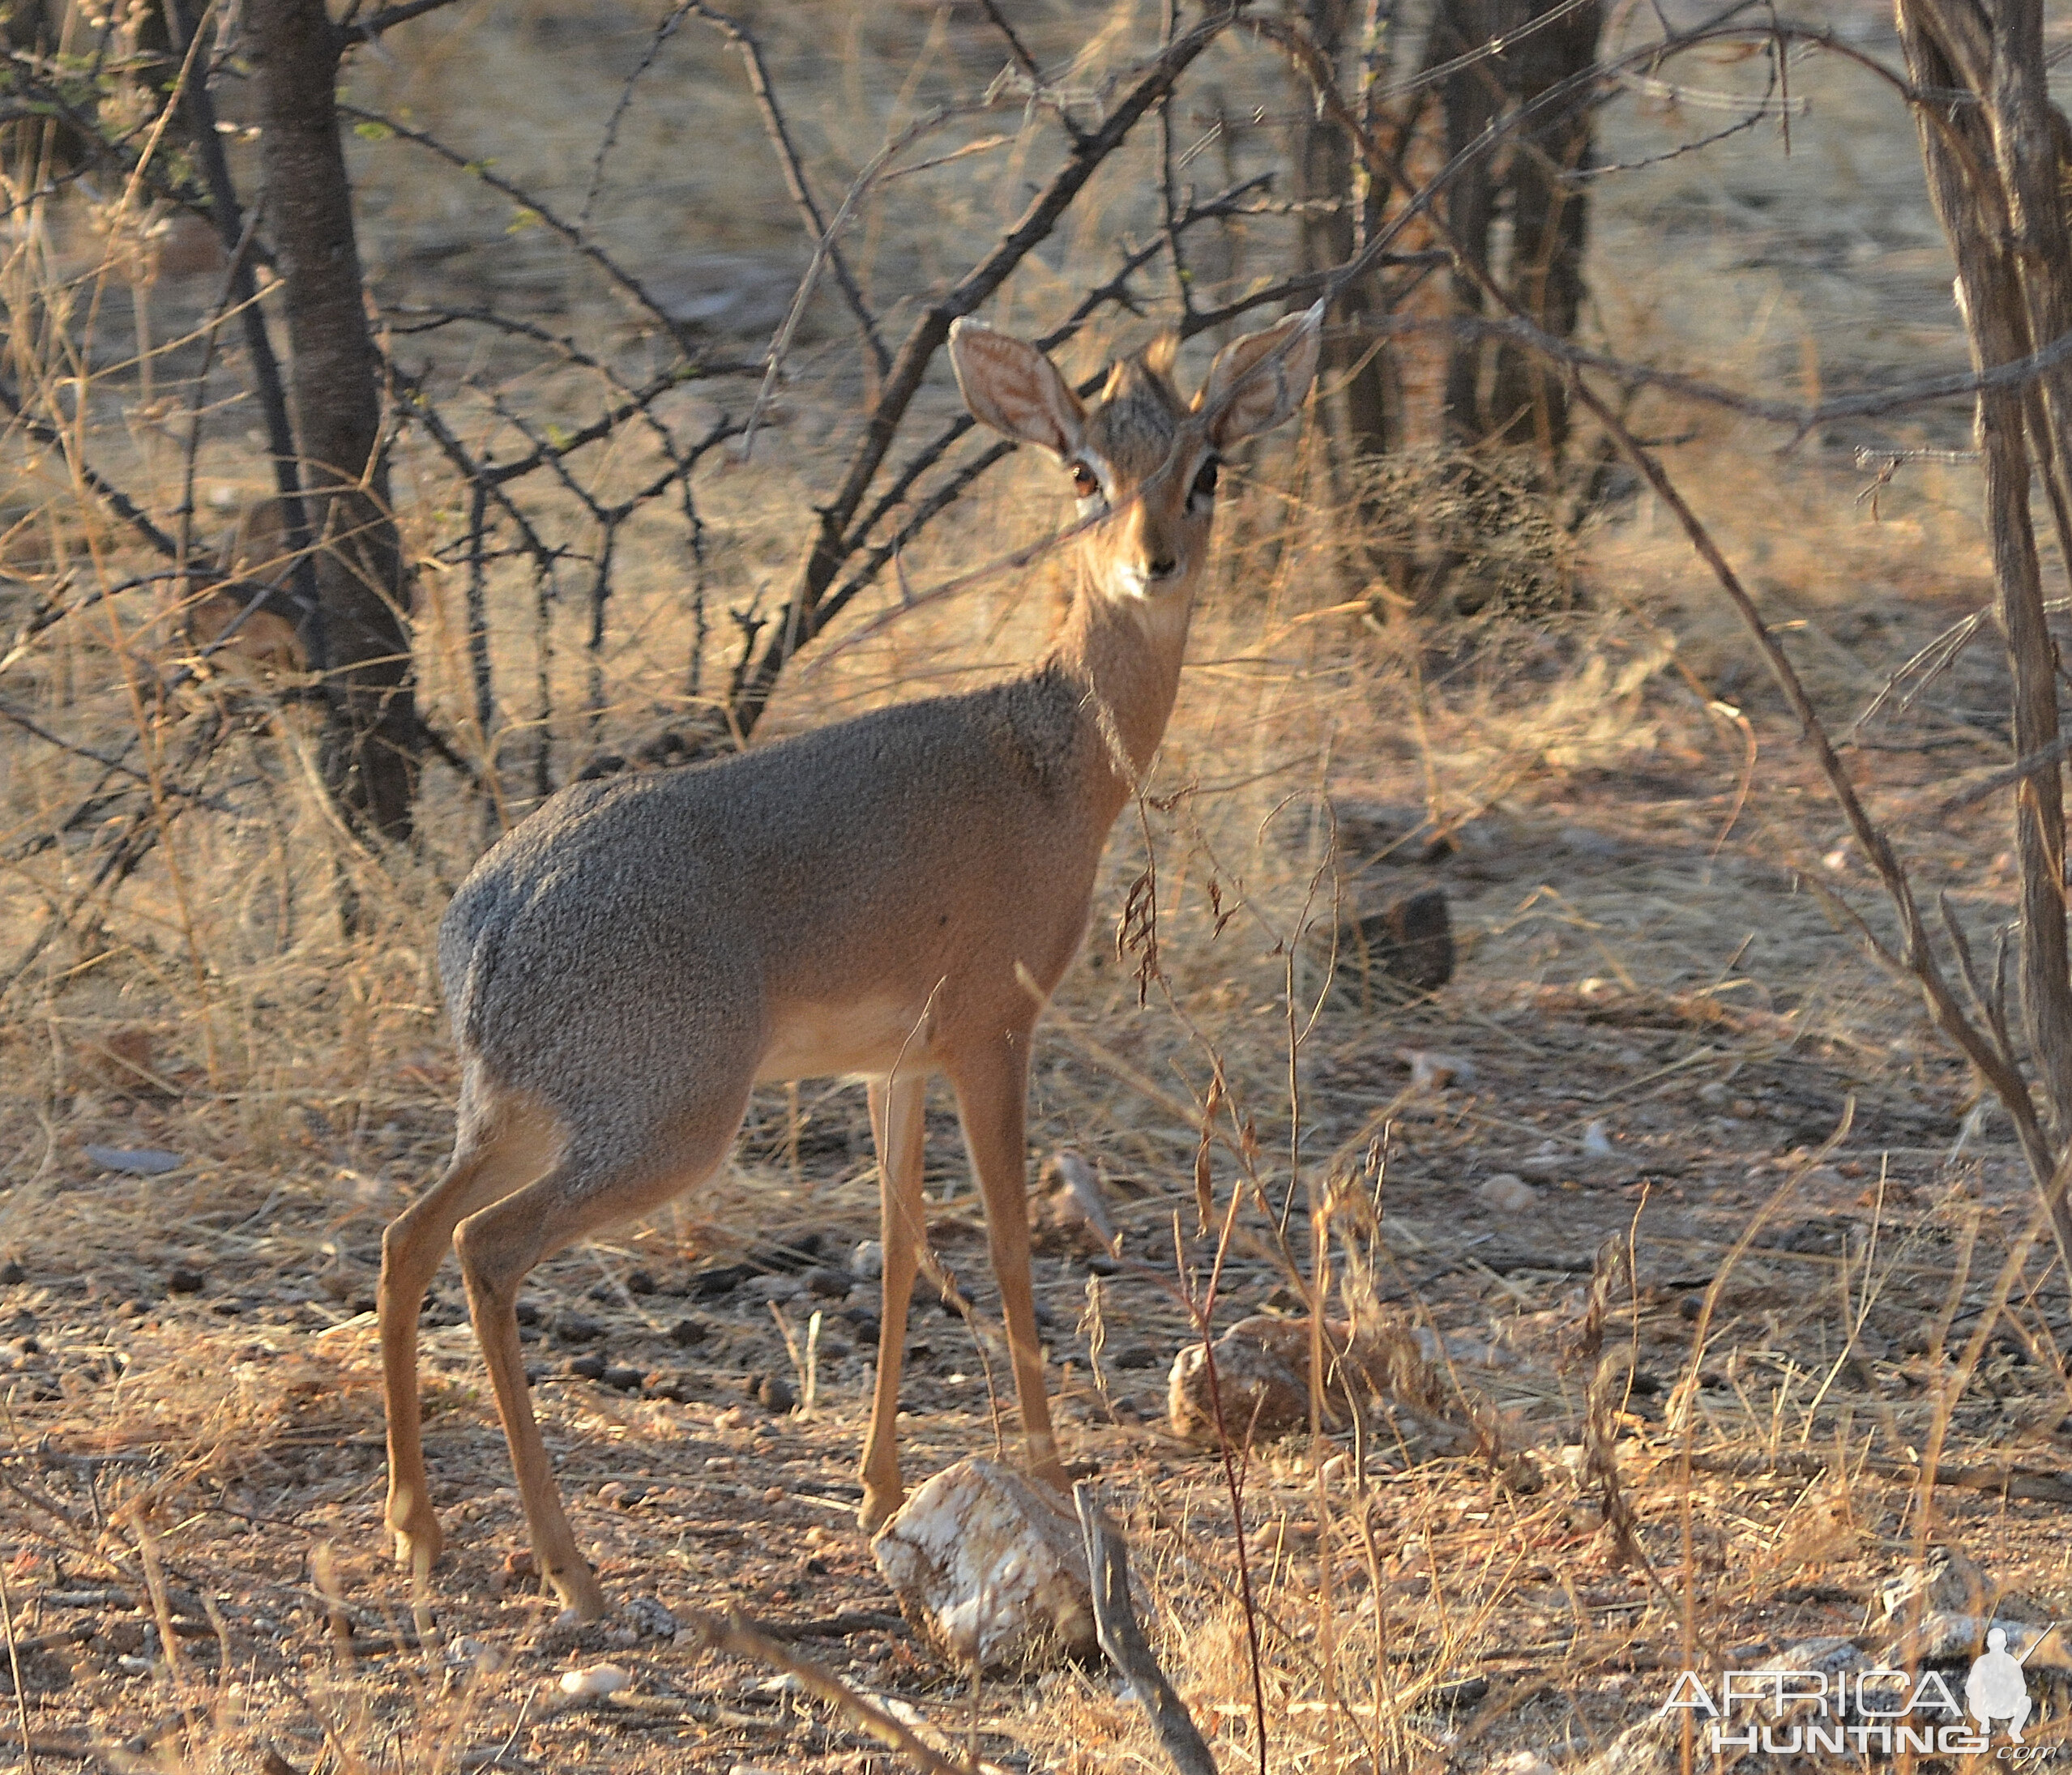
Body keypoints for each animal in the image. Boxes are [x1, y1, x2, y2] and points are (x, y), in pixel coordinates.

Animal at [378, 300, 1326, 1606]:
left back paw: (418, 1529)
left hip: (526, 1111)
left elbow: (898, 1245)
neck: (1055, 760)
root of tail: (488, 921)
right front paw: (1051, 1471)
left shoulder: (895, 1062)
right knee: (485, 1248)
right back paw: (569, 1566)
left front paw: (879, 1491)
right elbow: (1011, 1249)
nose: (1154, 561)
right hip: (666, 1123)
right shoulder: (993, 1030)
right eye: (1084, 473)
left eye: (1208, 470)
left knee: (405, 1235)